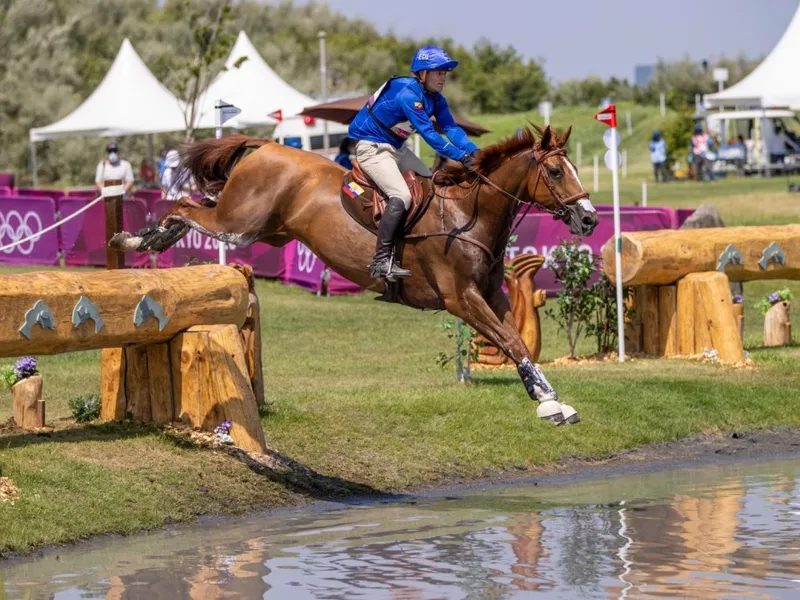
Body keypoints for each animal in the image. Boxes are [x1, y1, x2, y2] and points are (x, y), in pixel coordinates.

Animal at [112, 125, 600, 424]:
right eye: (555, 171)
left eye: (573, 169)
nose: (590, 219)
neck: (467, 215)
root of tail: (265, 145)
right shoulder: (460, 298)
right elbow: (512, 341)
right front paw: (547, 405)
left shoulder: (491, 297)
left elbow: (517, 340)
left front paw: (554, 399)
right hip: (240, 223)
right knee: (184, 206)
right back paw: (137, 240)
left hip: (268, 231)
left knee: (194, 208)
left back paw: (148, 240)